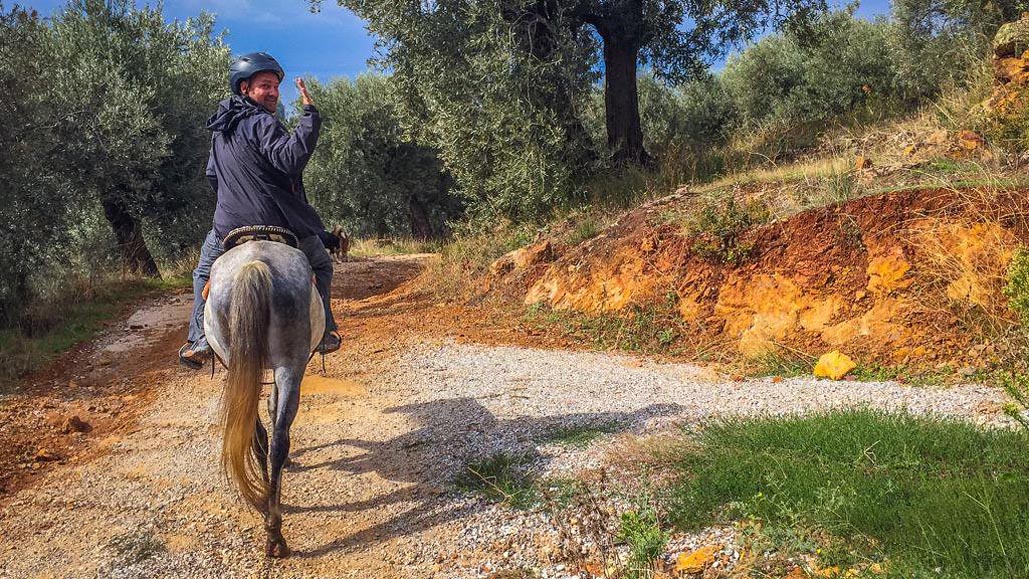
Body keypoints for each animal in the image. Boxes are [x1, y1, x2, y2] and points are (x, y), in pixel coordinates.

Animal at [203, 235, 323, 555]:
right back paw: (274, 528)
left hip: (254, 362)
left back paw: (273, 528)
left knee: (265, 437)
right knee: (275, 437)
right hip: (289, 364)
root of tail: (254, 264)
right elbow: (273, 407)